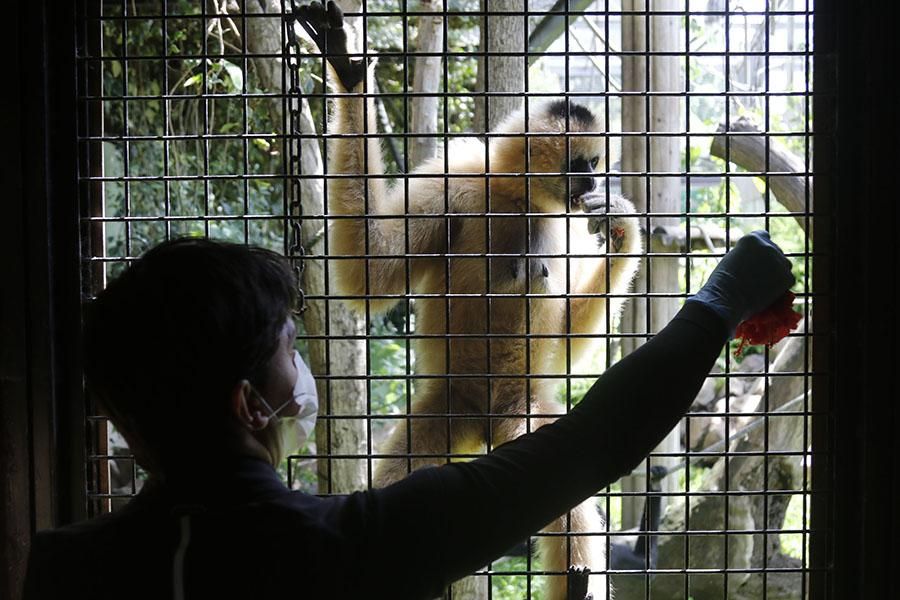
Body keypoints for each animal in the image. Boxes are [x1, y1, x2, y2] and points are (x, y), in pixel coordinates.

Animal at [296, 3, 640, 596]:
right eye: (582, 165)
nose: (595, 183)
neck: (518, 199)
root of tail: (483, 419)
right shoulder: (455, 180)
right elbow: (371, 267)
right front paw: (349, 70)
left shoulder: (566, 228)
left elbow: (566, 340)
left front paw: (620, 230)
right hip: (447, 403)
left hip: (523, 409)